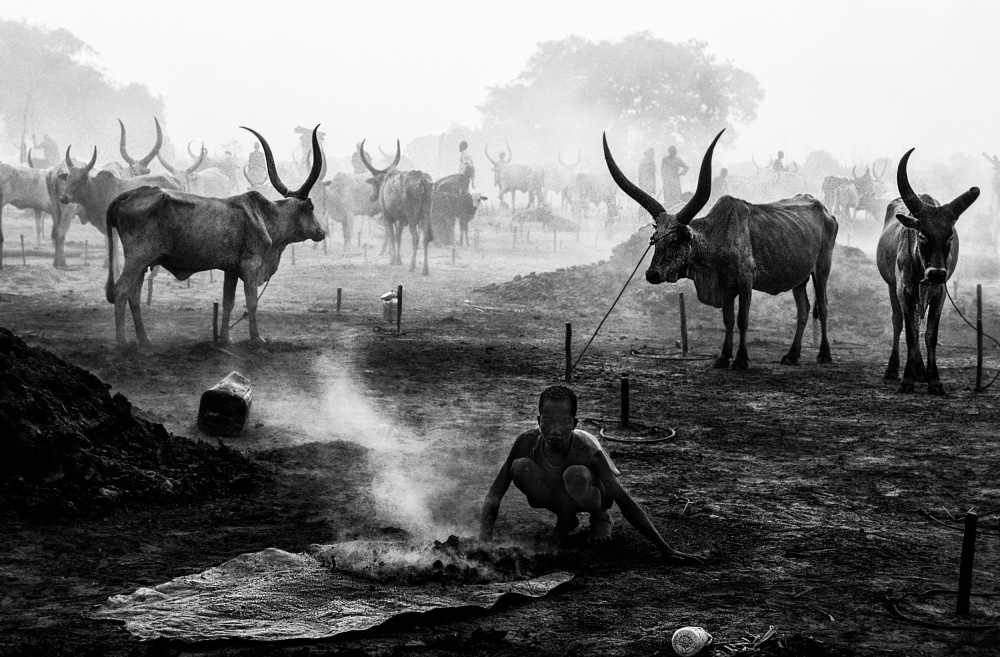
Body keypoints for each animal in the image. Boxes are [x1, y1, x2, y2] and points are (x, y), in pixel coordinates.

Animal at [103, 126, 326, 348]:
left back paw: (144, 339)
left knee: (134, 295)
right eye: (311, 207)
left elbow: (228, 303)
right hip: (137, 258)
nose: (322, 232)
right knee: (121, 291)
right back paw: (122, 341)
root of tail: (126, 195)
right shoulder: (250, 266)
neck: (265, 216)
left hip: (143, 263)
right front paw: (257, 337)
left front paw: (226, 338)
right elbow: (251, 302)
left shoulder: (231, 270)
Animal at [359, 140, 434, 275]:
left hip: (412, 217)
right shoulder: (401, 219)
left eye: (375, 183)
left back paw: (412, 266)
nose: (371, 197)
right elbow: (398, 236)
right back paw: (425, 270)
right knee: (425, 238)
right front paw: (398, 260)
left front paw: (392, 260)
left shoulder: (388, 216)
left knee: (415, 238)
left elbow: (392, 236)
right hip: (426, 214)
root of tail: (422, 181)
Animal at [605, 129, 839, 370]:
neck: (716, 241)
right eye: (655, 239)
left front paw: (741, 359)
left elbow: (742, 320)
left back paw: (824, 353)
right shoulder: (724, 284)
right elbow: (728, 321)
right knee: (803, 310)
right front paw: (723, 357)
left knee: (823, 307)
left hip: (822, 269)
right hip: (799, 277)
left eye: (675, 240)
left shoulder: (745, 280)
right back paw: (792, 354)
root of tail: (825, 210)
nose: (652, 274)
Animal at [876, 149, 978, 395]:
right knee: (899, 322)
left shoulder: (939, 294)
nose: (936, 274)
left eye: (949, 236)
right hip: (892, 287)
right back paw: (893, 369)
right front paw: (906, 380)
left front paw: (933, 380)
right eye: (922, 235)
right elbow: (911, 333)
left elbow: (930, 335)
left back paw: (920, 371)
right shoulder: (904, 291)